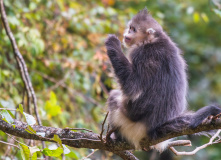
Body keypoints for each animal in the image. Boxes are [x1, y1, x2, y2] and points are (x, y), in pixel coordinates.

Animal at [104, 8, 221, 152]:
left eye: (133, 29)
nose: (127, 33)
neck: (154, 39)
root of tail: (155, 129)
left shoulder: (140, 53)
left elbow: (132, 87)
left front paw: (113, 44)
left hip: (129, 123)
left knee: (114, 97)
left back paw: (117, 137)